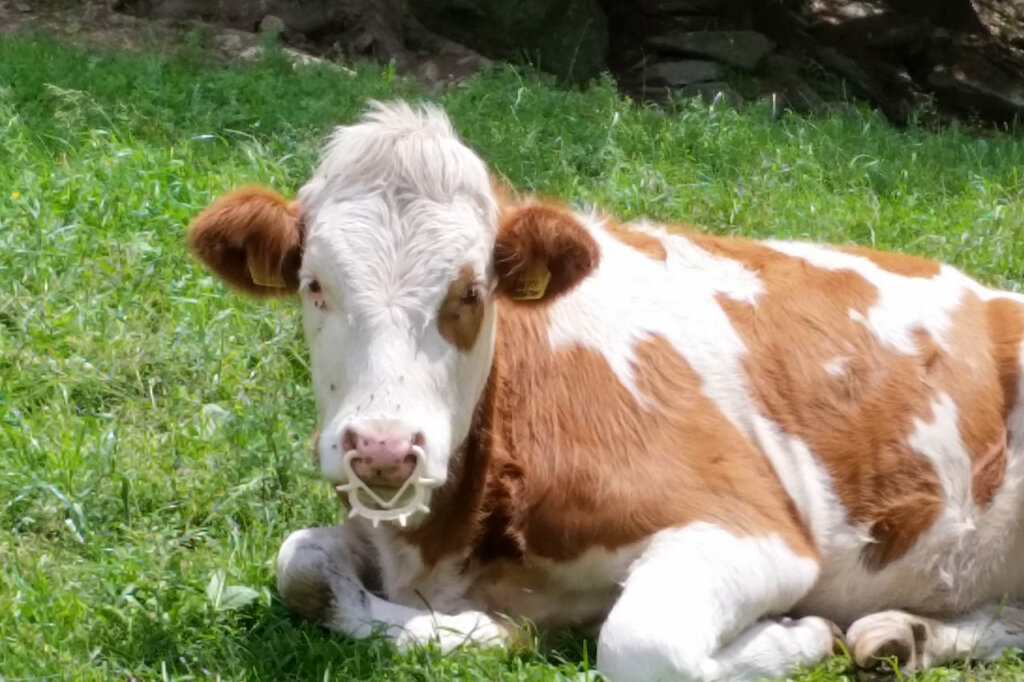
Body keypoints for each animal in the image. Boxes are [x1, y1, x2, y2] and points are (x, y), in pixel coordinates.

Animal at [187, 100, 1024, 681]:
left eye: (471, 291)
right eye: (314, 285)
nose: (385, 451)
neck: (450, 543)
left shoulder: (753, 527)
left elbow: (642, 643)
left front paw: (799, 635)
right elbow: (300, 566)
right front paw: (491, 630)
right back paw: (903, 634)